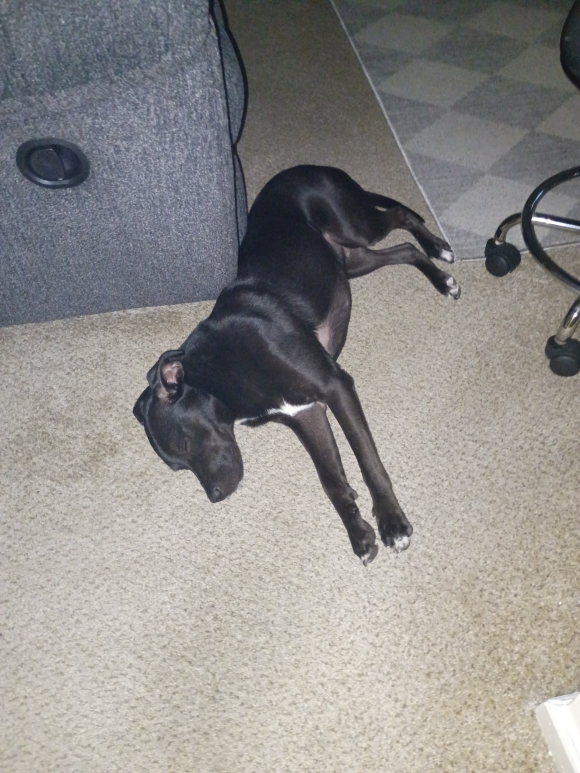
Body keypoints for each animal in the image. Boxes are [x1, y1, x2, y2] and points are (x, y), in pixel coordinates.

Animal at [134, 165, 458, 564]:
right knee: (403, 250)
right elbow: (330, 479)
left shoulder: (335, 385)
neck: (221, 370)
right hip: (351, 261)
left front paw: (392, 523)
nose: (215, 497)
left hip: (355, 226)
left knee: (400, 216)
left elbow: (368, 462)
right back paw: (438, 272)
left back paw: (439, 253)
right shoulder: (305, 413)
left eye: (182, 443)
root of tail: (311, 167)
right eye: (177, 466)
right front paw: (358, 532)